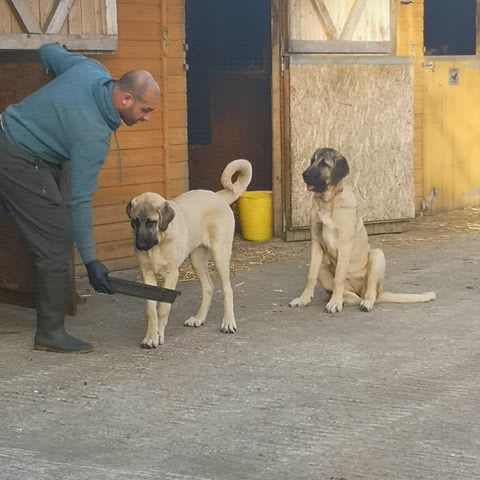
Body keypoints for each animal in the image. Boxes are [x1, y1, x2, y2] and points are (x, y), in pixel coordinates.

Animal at [127, 159, 253, 346]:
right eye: (135, 221)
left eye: (151, 222)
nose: (141, 245)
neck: (159, 242)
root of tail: (219, 196)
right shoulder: (147, 276)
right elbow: (151, 310)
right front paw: (150, 337)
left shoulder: (172, 275)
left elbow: (163, 308)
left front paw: (159, 335)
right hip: (197, 259)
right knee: (208, 286)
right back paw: (199, 318)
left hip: (220, 254)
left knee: (227, 289)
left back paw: (228, 322)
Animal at [288, 149, 436, 316]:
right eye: (312, 161)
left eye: (324, 164)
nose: (304, 174)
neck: (329, 201)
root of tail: (379, 293)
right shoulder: (316, 244)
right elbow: (311, 275)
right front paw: (304, 299)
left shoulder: (344, 245)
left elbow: (339, 277)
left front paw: (334, 303)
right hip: (324, 269)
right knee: (350, 294)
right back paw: (342, 300)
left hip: (376, 256)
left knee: (368, 292)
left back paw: (362, 302)